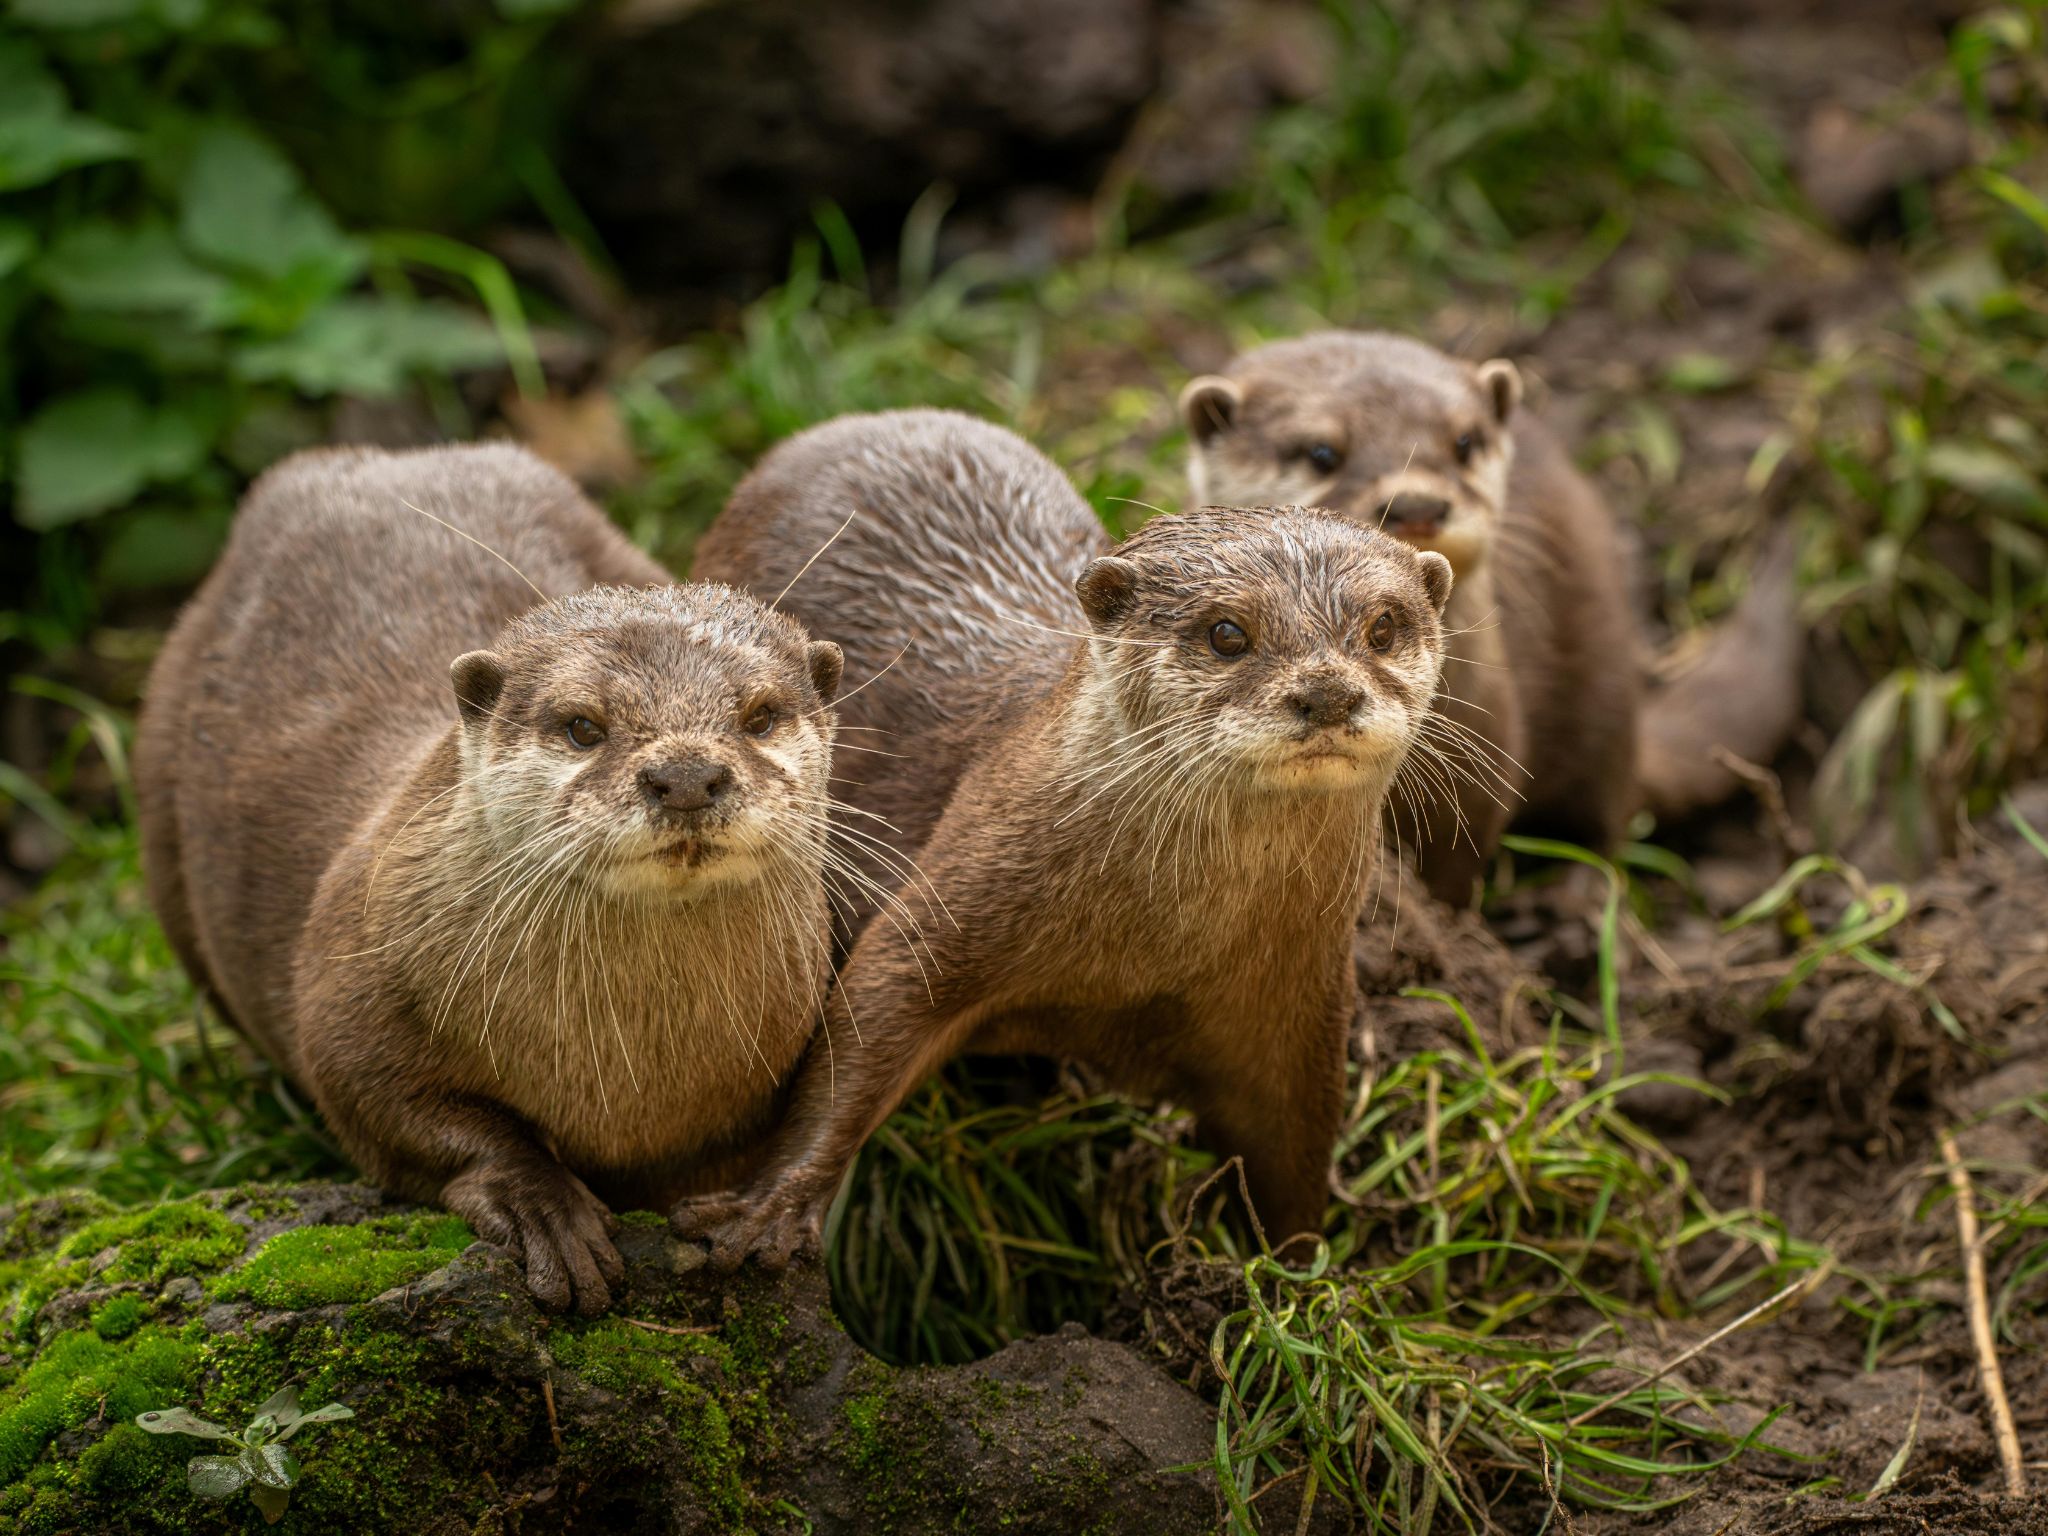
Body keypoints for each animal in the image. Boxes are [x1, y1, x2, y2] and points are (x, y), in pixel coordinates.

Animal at [135, 444, 843, 1313]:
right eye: (582, 725)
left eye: (761, 715)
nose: (684, 774)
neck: (624, 1078)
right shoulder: (350, 997)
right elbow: (401, 1112)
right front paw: (544, 1212)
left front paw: (760, 1215)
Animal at [682, 409, 1451, 1263]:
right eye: (1226, 632)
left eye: (1383, 626)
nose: (1328, 692)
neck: (1150, 953)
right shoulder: (954, 899)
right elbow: (861, 1033)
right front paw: (768, 1210)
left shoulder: (1301, 1006)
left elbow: (1295, 1149)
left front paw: (1297, 1270)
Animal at [1181, 330, 1804, 901]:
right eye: (1321, 453)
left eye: (1464, 441)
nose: (1417, 505)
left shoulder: (1481, 772)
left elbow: (1455, 872)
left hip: (1603, 688)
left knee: (1606, 820)